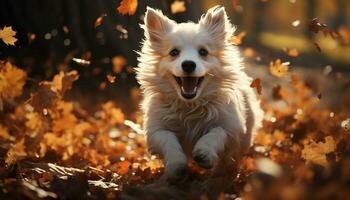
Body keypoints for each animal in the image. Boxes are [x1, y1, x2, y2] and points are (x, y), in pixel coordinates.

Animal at [135, 5, 264, 181]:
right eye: (174, 52)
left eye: (203, 52)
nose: (188, 64)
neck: (190, 106)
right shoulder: (155, 130)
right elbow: (168, 139)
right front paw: (176, 165)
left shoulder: (230, 128)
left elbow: (215, 133)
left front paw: (204, 153)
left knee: (229, 159)